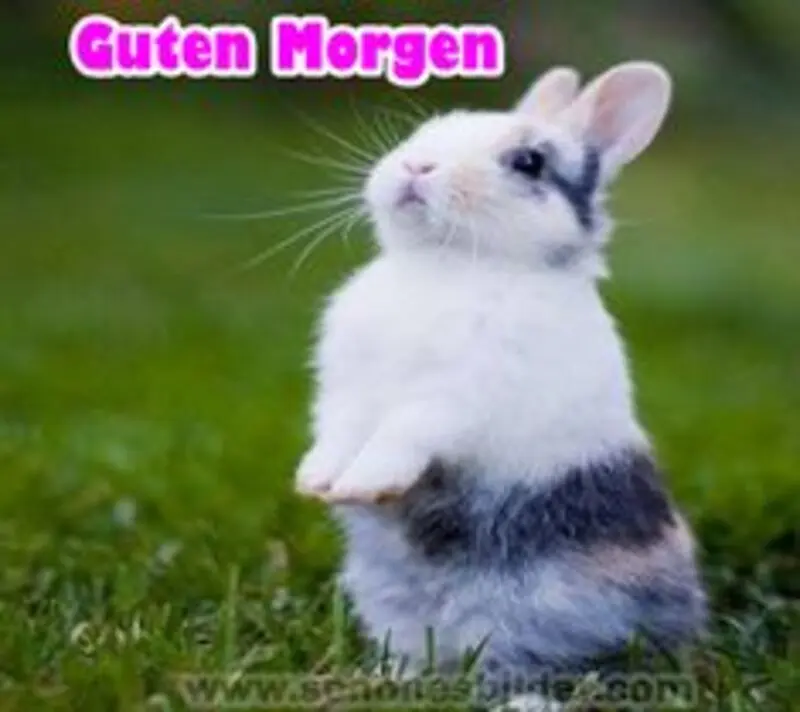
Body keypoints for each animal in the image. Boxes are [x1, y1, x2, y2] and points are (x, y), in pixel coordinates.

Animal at [294, 62, 708, 710]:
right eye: (429, 128)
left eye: (528, 163)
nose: (417, 166)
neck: (445, 264)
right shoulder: (346, 389)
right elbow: (337, 432)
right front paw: (318, 482)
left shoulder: (454, 399)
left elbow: (402, 431)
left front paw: (366, 483)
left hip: (537, 618)